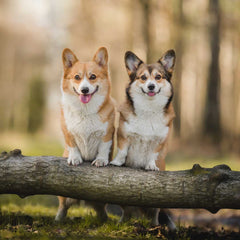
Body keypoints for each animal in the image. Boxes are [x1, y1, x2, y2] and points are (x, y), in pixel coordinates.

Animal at [56, 47, 116, 221]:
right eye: (77, 77)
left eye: (93, 77)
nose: (84, 90)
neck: (85, 111)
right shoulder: (67, 131)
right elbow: (73, 146)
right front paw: (75, 159)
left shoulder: (107, 133)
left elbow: (103, 147)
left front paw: (101, 160)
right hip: (64, 197)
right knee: (63, 206)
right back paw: (58, 219)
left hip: (101, 199)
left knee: (101, 209)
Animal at [111, 49, 176, 229]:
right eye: (143, 77)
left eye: (158, 77)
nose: (151, 86)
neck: (148, 108)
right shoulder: (123, 135)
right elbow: (122, 150)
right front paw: (117, 162)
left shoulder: (160, 141)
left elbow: (152, 154)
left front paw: (151, 166)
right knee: (126, 211)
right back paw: (122, 222)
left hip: (155, 203)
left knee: (155, 214)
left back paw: (155, 226)